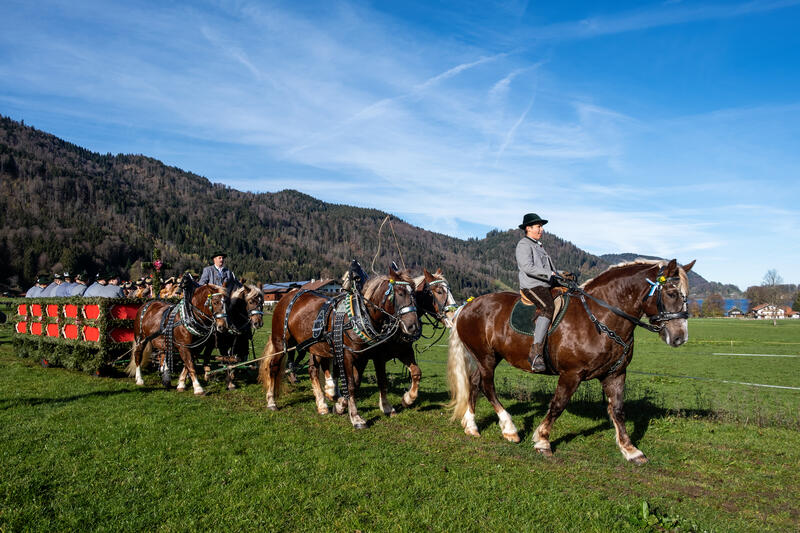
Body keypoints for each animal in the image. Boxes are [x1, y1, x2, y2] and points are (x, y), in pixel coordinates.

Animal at [260, 266, 424, 428]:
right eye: (400, 293)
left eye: (415, 294)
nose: (413, 326)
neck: (360, 315)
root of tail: (289, 295)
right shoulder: (348, 355)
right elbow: (351, 384)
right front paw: (356, 417)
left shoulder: (366, 355)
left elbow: (362, 382)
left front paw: (340, 406)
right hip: (281, 343)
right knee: (273, 368)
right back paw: (271, 401)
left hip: (315, 346)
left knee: (313, 370)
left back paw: (322, 404)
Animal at [450, 258, 692, 462]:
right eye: (671, 293)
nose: (680, 337)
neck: (601, 317)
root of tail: (469, 305)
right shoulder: (571, 374)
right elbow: (558, 404)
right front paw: (542, 440)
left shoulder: (615, 374)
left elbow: (618, 410)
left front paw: (630, 450)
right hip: (486, 357)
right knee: (487, 386)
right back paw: (509, 429)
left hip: (486, 357)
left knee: (474, 383)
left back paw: (471, 426)